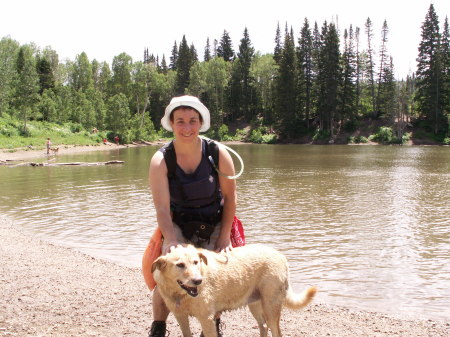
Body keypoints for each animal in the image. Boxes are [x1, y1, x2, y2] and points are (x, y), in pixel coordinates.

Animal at [151, 244, 316, 336]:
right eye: (180, 265)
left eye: (196, 262)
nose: (198, 280)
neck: (180, 295)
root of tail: (281, 256)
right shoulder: (180, 317)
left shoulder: (206, 319)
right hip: (255, 305)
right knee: (263, 326)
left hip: (270, 307)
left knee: (275, 331)